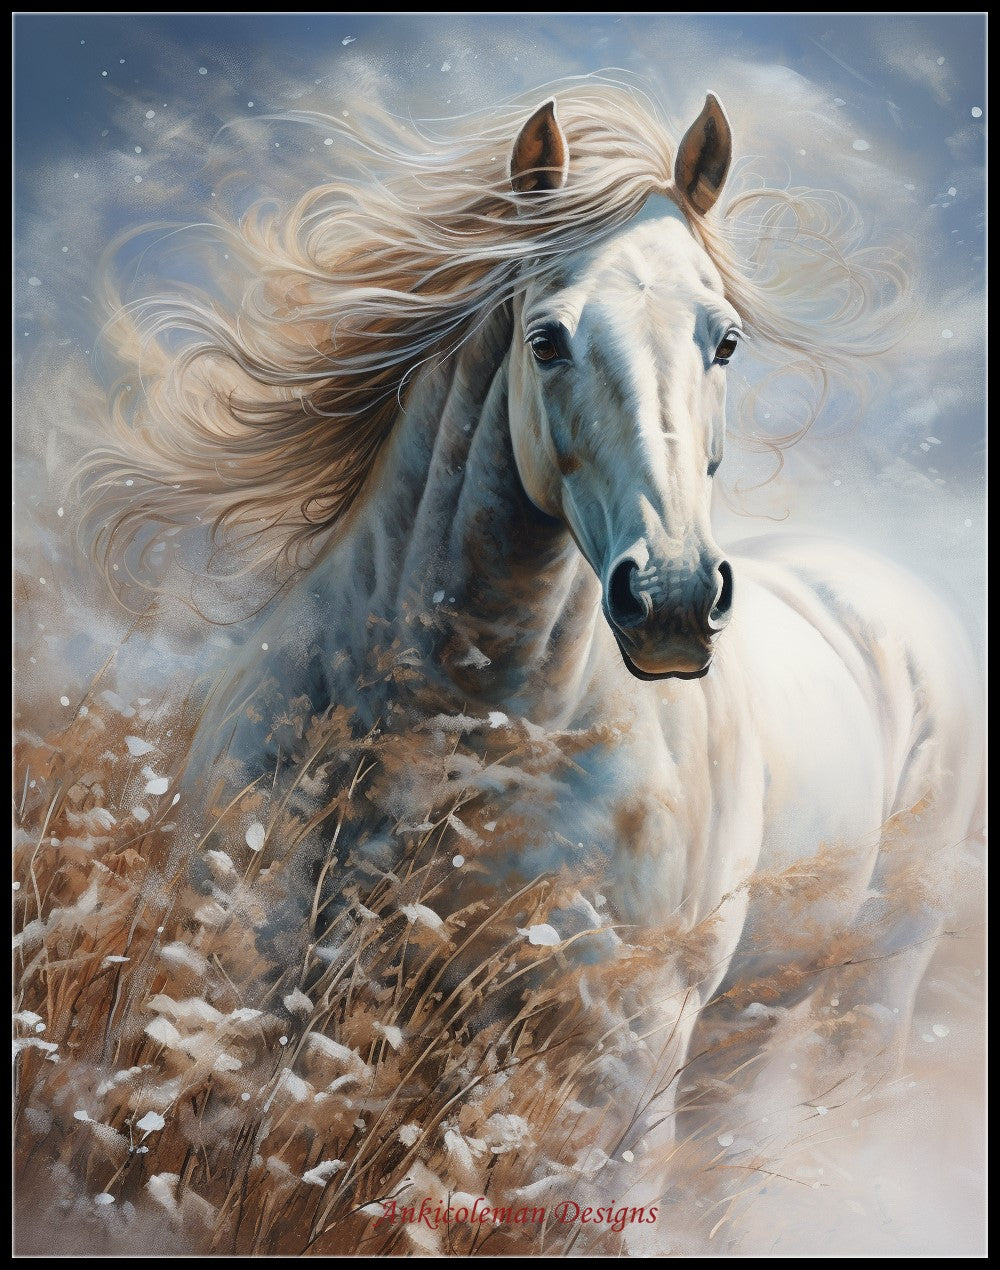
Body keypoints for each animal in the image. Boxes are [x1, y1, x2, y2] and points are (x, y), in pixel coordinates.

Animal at [88, 85, 981, 1222]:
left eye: (725, 341)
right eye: (547, 338)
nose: (675, 600)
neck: (445, 734)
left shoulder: (619, 1054)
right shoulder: (237, 984)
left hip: (858, 1000)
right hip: (745, 1025)